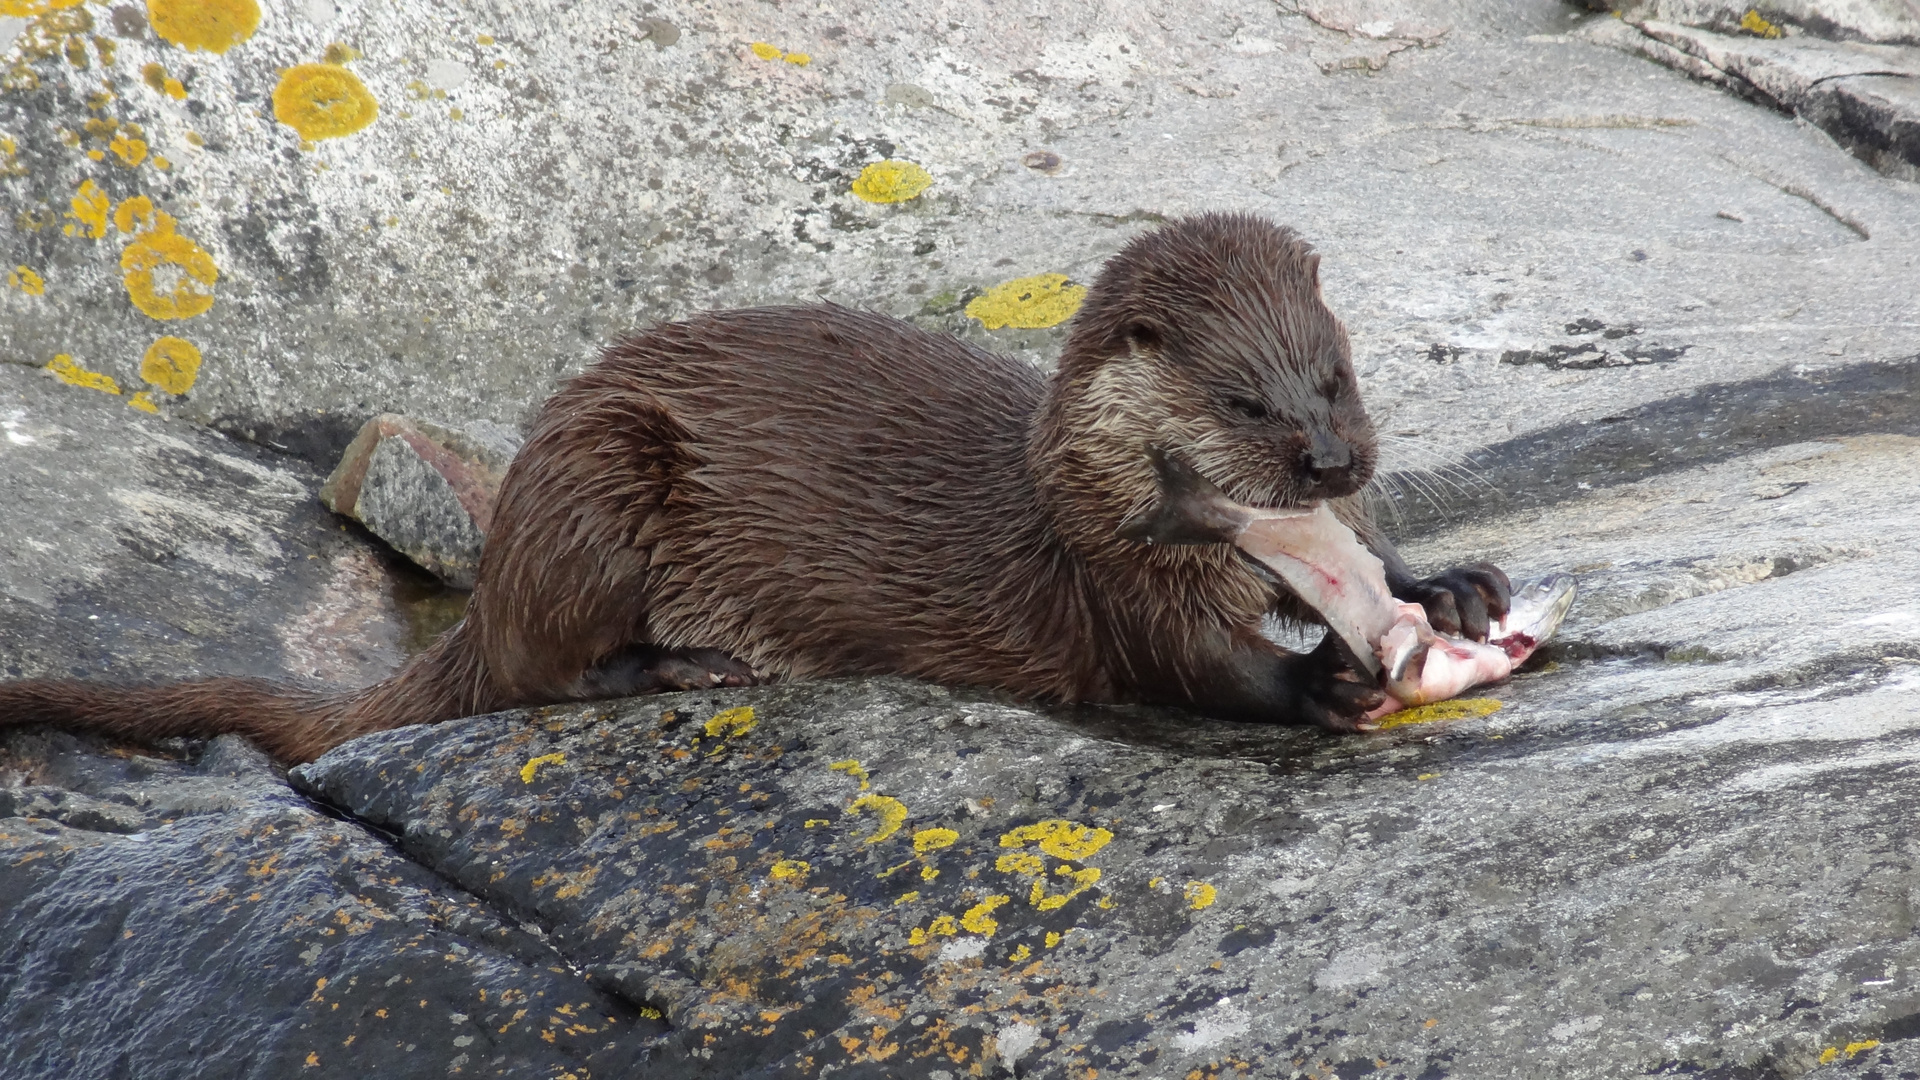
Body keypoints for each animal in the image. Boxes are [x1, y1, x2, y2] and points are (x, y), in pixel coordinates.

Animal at [0, 214, 1512, 760]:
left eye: (1337, 376)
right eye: (1248, 404)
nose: (1338, 463)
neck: (1076, 500)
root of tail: (492, 583)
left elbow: (1383, 571)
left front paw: (1450, 585)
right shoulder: (1112, 587)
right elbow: (1195, 670)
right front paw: (1320, 685)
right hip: (597, 483)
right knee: (540, 673)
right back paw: (685, 668)